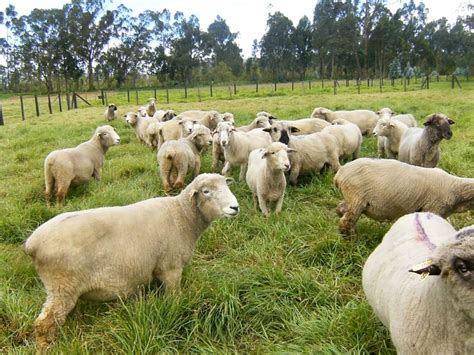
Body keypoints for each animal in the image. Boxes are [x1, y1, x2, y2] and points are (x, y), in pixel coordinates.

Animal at [24, 174, 239, 350]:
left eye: (226, 185)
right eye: (206, 191)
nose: (235, 207)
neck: (182, 215)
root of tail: (31, 244)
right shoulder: (170, 267)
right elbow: (174, 297)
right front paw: (177, 308)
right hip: (61, 286)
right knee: (43, 324)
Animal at [334, 158, 474, 236]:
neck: (456, 189)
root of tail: (339, 174)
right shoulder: (434, 208)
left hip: (352, 198)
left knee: (340, 209)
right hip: (357, 198)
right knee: (346, 221)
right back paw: (352, 240)